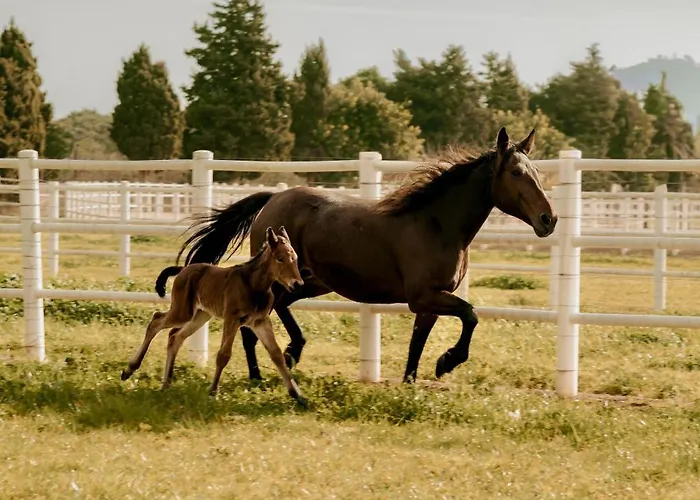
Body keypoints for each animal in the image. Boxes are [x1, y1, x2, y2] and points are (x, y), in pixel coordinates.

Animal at [121, 226, 307, 404]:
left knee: (175, 336)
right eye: (280, 258)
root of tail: (183, 269)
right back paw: (129, 370)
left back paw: (166, 384)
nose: (297, 284)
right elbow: (224, 355)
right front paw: (212, 392)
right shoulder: (232, 319)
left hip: (200, 315)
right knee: (156, 321)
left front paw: (297, 395)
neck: (253, 285)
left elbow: (276, 354)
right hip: (183, 312)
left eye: (295, 258)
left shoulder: (260, 321)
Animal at [176, 127, 557, 384]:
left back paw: (283, 357)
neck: (435, 224)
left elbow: (418, 343)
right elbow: (470, 314)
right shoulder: (424, 296)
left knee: (272, 313)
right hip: (284, 280)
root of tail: (272, 200)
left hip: (311, 283)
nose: (548, 219)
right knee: (255, 322)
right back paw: (271, 366)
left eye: (537, 172)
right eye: (516, 173)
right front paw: (448, 361)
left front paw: (411, 384)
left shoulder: (429, 303)